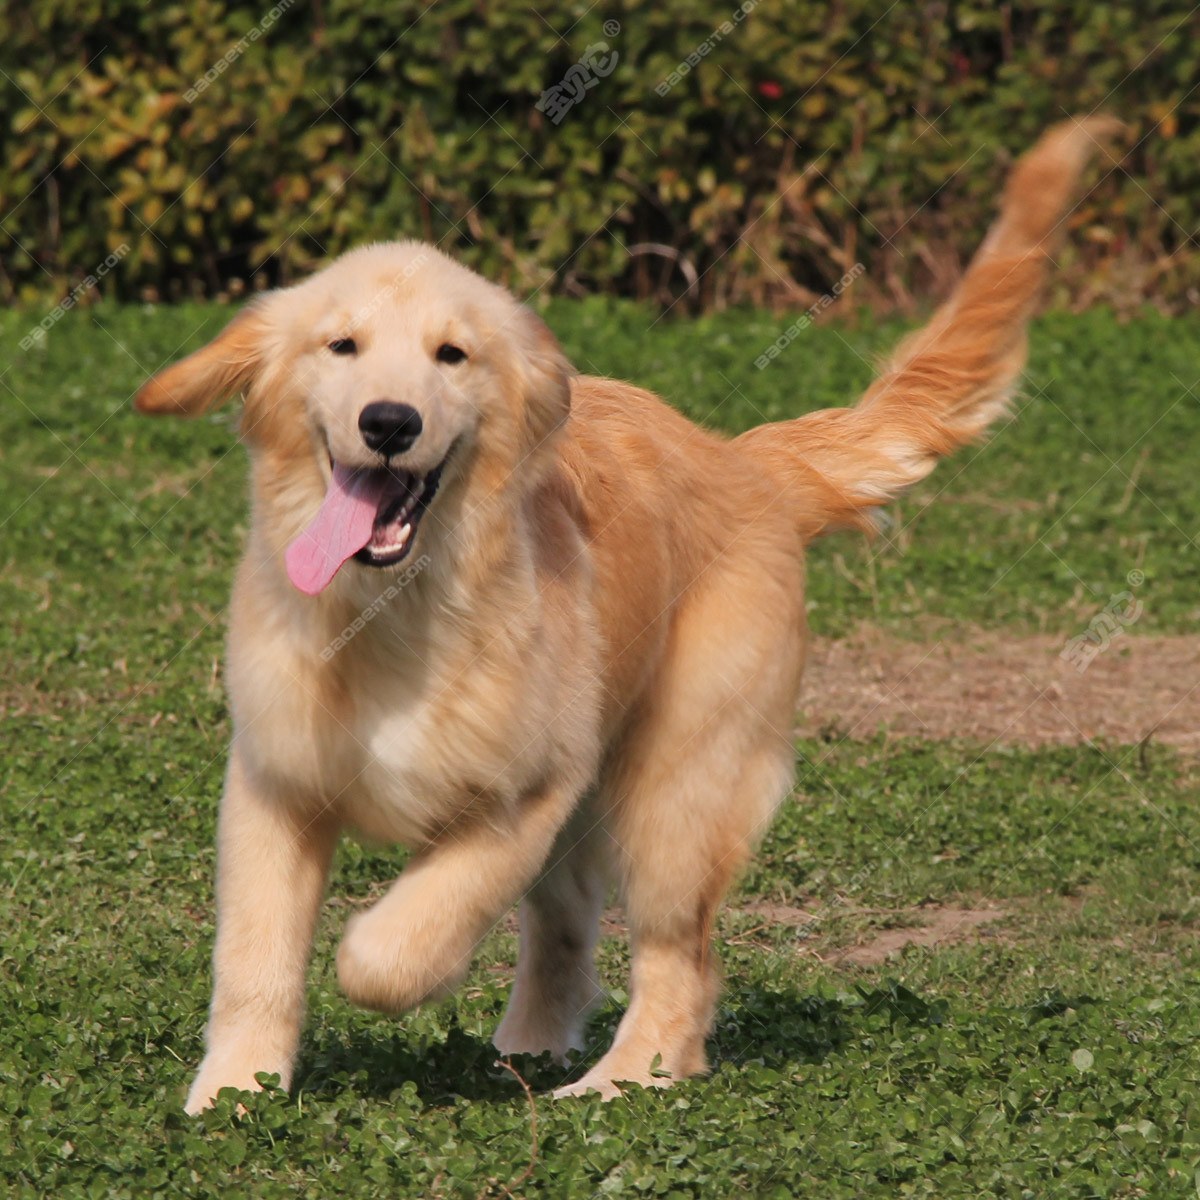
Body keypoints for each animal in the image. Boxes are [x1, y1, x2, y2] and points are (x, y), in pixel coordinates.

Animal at [138, 117, 1113, 1108]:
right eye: (341, 346)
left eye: (453, 355)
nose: (388, 422)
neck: (390, 615)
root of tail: (746, 463)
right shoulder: (274, 785)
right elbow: (254, 957)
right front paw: (235, 1092)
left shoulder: (528, 792)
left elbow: (393, 947)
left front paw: (367, 962)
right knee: (568, 931)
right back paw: (533, 1048)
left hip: (681, 785)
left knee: (681, 960)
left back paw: (624, 1079)